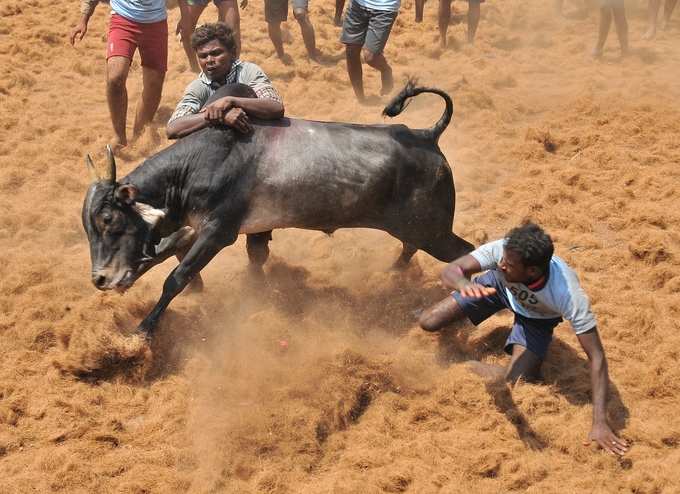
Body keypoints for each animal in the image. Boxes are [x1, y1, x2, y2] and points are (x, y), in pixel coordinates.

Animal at [82, 82, 476, 336]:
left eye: (109, 219)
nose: (99, 279)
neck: (197, 165)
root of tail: (426, 136)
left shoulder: (218, 232)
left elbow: (176, 278)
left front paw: (145, 329)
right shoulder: (193, 228)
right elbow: (164, 255)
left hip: (434, 231)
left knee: (466, 252)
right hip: (418, 228)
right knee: (411, 247)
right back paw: (392, 273)